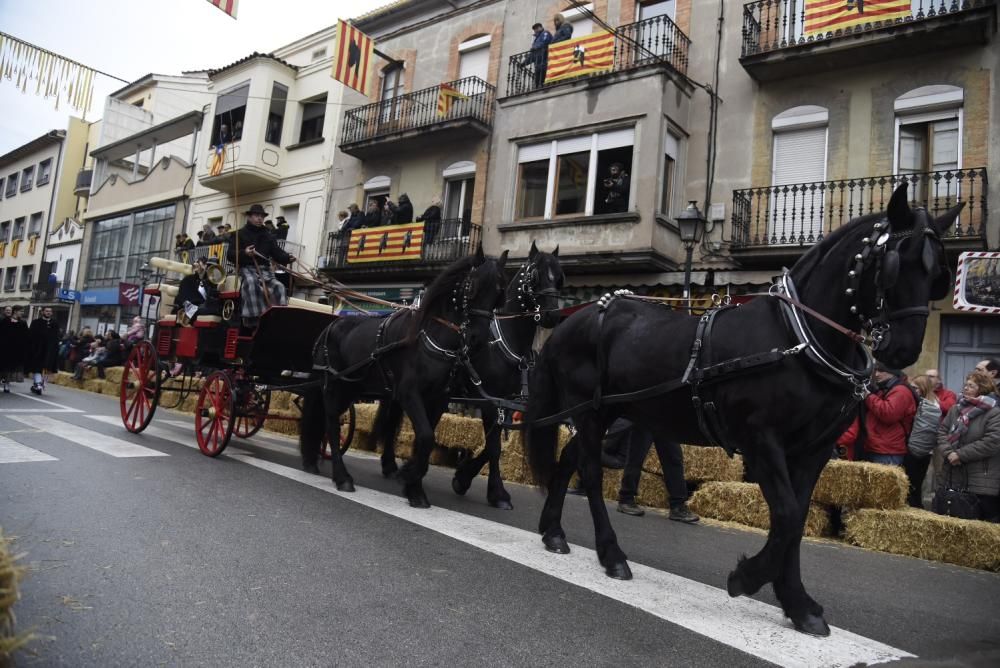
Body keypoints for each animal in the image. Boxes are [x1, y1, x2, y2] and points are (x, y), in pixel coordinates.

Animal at [298, 245, 508, 506]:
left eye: (499, 293)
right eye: (471, 287)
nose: (477, 339)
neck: (432, 337)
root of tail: (329, 327)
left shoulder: (438, 399)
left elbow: (424, 439)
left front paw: (413, 485)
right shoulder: (409, 393)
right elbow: (426, 437)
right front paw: (409, 477)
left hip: (350, 389)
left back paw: (314, 461)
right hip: (333, 387)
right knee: (332, 425)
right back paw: (342, 477)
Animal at [524, 187, 960, 636]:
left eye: (938, 275)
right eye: (893, 264)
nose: (903, 350)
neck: (797, 337)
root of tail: (569, 322)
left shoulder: (813, 450)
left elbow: (797, 520)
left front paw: (797, 604)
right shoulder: (760, 440)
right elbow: (786, 515)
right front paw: (747, 577)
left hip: (604, 411)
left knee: (568, 459)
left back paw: (553, 532)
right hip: (590, 413)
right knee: (591, 473)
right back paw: (611, 554)